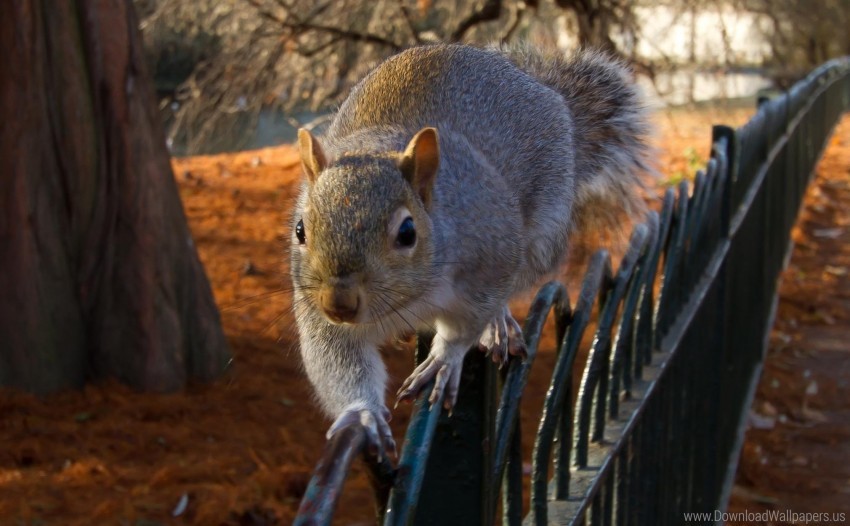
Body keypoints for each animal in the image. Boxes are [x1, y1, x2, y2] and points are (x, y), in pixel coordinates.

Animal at [288, 44, 644, 458]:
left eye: (407, 232)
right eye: (300, 230)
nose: (339, 304)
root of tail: (544, 90)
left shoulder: (488, 261)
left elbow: (465, 326)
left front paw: (445, 359)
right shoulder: (316, 310)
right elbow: (337, 361)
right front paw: (362, 414)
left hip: (542, 236)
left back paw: (498, 324)